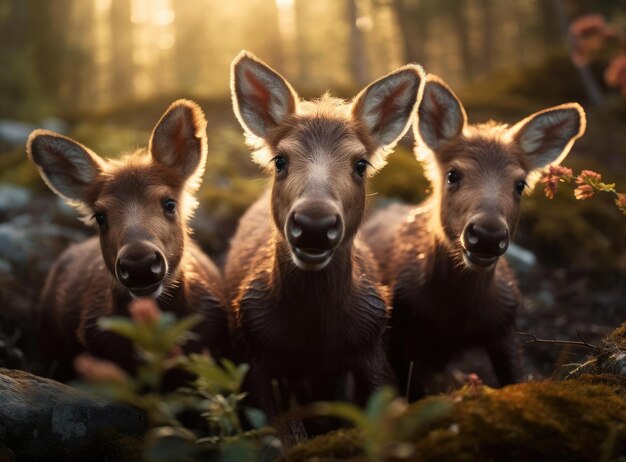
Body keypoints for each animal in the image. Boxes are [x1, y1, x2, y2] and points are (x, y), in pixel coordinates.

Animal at [224, 49, 424, 418]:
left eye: (360, 164)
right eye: (280, 160)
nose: (314, 225)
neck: (314, 338)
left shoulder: (373, 345)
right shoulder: (254, 350)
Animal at [360, 74, 584, 398]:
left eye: (520, 184)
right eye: (453, 175)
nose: (487, 235)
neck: (456, 316)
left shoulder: (505, 328)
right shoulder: (401, 342)